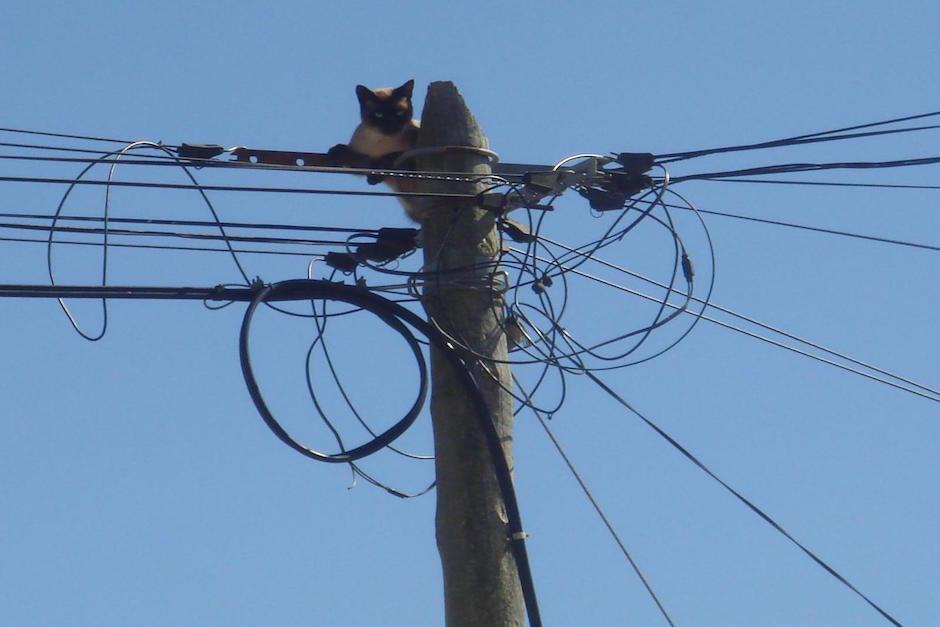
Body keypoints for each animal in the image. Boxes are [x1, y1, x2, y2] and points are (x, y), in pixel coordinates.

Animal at [326, 79, 422, 221]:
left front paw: (374, 176)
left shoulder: (414, 152)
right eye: (379, 115)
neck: (381, 142)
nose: (391, 126)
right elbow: (346, 153)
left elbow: (391, 157)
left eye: (399, 113)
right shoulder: (359, 161)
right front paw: (335, 152)